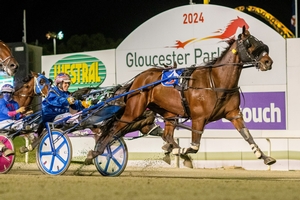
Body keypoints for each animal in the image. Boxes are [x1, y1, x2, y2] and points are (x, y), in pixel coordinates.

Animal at [84, 26, 276, 167]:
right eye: (250, 43)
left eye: (259, 42)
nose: (268, 62)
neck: (216, 81)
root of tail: (138, 79)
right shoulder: (199, 118)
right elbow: (194, 146)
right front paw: (179, 151)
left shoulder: (234, 113)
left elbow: (247, 135)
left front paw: (265, 157)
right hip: (134, 110)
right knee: (115, 127)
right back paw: (96, 152)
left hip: (169, 113)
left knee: (166, 134)